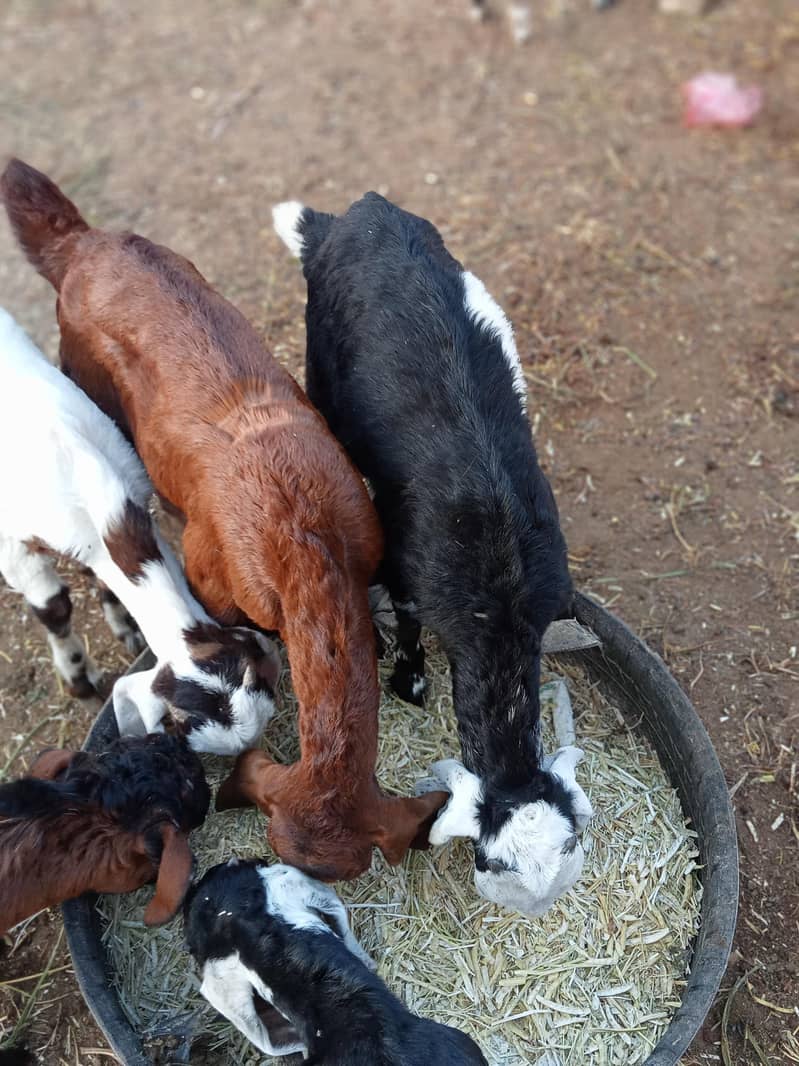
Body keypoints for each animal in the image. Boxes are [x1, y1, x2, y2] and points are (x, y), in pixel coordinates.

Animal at [272, 193, 592, 916]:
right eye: (490, 861)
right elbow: (409, 618)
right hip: (317, 368)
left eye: (568, 852)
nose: (536, 913)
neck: (497, 587)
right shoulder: (406, 564)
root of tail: (355, 212)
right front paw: (410, 683)